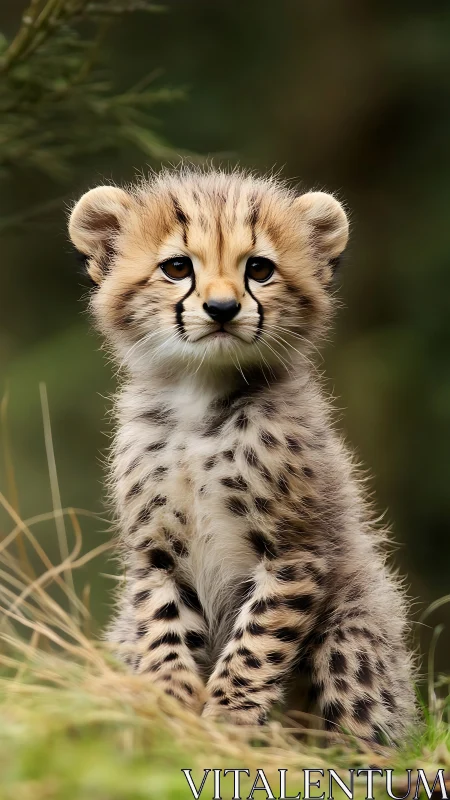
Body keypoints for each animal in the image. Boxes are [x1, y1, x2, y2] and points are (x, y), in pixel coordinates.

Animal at [68, 166, 416, 744]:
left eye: (259, 268)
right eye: (177, 267)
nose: (223, 308)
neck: (198, 399)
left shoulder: (293, 550)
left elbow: (256, 644)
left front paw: (228, 720)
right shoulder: (155, 553)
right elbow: (164, 633)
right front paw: (170, 711)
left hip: (354, 626)